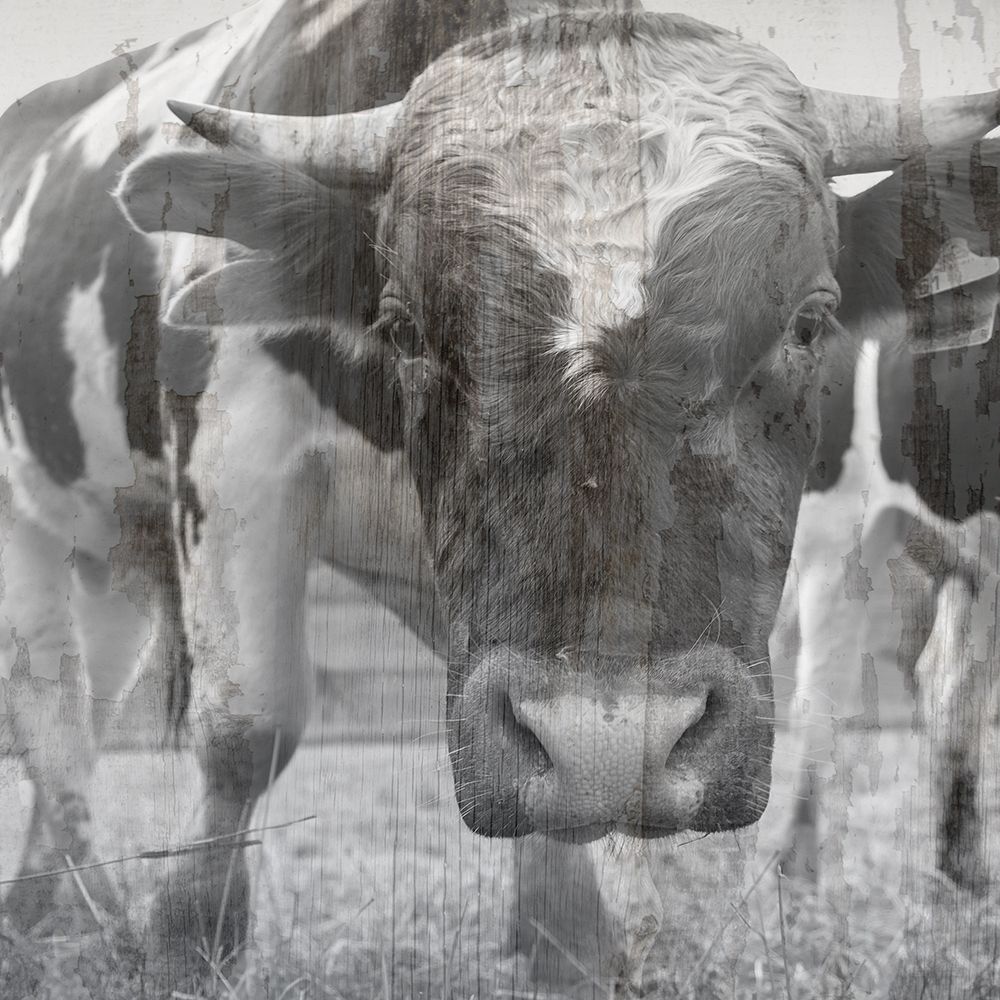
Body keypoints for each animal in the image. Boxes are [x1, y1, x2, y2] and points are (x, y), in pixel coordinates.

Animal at [4, 0, 1000, 992]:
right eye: (404, 324)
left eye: (809, 321)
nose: (614, 747)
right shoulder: (233, 444)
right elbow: (249, 724)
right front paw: (188, 939)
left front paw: (564, 940)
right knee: (47, 699)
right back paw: (94, 912)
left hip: (115, 551)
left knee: (91, 694)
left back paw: (48, 897)